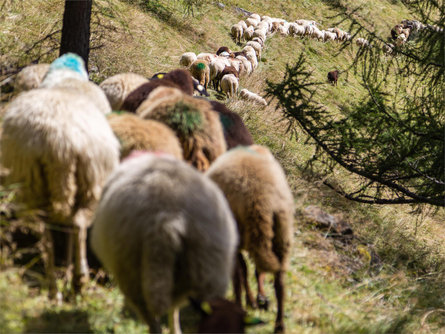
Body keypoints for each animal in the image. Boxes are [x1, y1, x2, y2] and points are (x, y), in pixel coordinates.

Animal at [0, 87, 119, 298]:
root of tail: (61, 142)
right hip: (89, 183)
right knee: (76, 225)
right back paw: (75, 283)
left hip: (32, 185)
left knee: (48, 236)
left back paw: (57, 288)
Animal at [206, 145, 294, 334]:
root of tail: (260, 200)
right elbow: (255, 270)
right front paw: (258, 299)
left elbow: (243, 270)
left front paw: (252, 300)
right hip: (282, 236)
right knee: (280, 283)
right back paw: (279, 325)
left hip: (238, 233)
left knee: (238, 274)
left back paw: (239, 308)